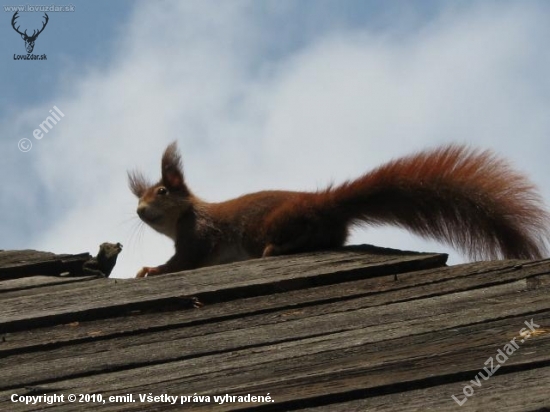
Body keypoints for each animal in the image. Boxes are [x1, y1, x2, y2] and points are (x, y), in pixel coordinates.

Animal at [130, 140, 550, 278]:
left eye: (162, 191)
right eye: (139, 197)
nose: (139, 211)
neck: (182, 217)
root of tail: (325, 203)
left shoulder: (197, 235)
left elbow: (182, 262)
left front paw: (151, 270)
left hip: (274, 223)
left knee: (292, 237)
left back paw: (275, 249)